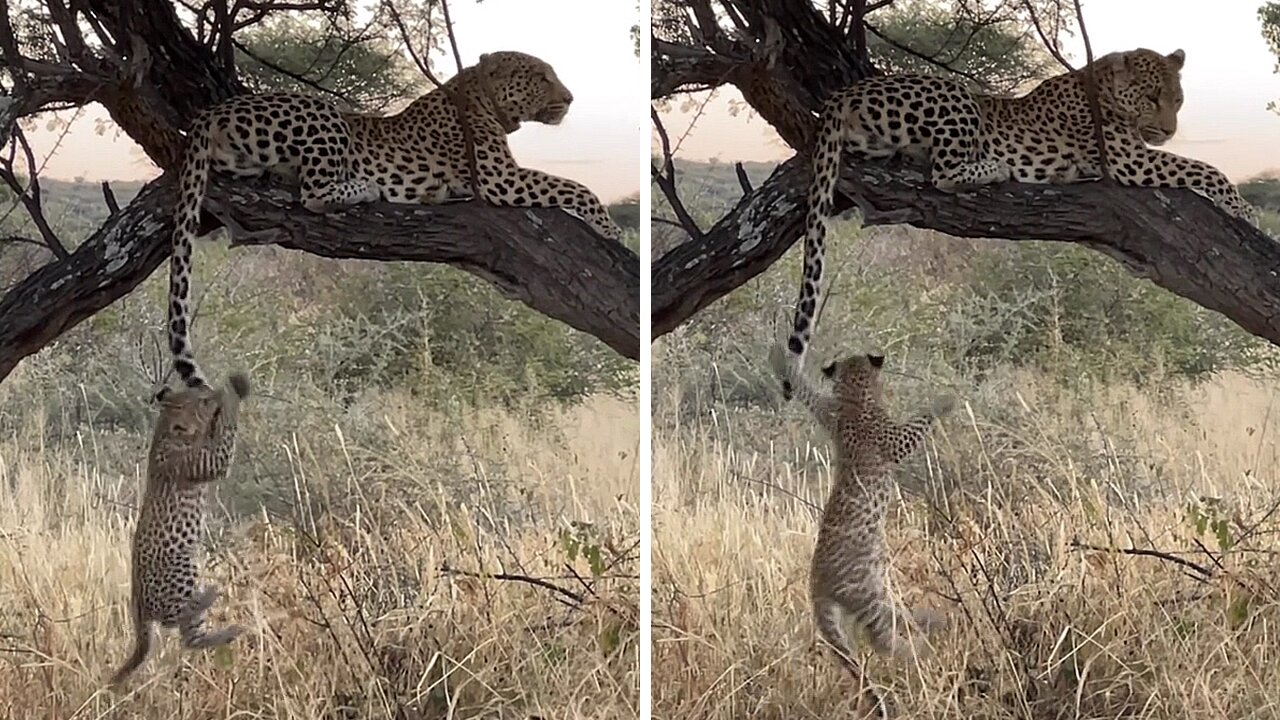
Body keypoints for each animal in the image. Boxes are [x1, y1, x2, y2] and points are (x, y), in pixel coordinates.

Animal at [165, 51, 619, 389]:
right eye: (541, 76)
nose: (570, 98)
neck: (481, 96)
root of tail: (211, 111)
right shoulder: (499, 180)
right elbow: (575, 186)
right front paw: (610, 229)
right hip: (322, 113)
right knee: (313, 193)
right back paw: (364, 187)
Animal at [778, 49, 1259, 397]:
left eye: (1177, 100)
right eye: (1151, 97)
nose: (1169, 129)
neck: (1103, 85)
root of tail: (843, 94)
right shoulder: (1128, 161)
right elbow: (1204, 167)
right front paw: (1244, 208)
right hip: (954, 97)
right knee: (944, 172)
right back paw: (994, 167)